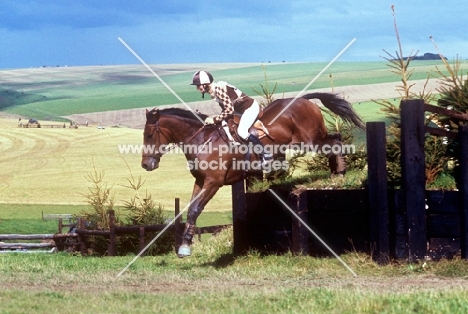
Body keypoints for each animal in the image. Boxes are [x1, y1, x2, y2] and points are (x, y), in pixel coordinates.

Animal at [141, 91, 364, 258]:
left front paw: (185, 248)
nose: (145, 165)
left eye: (149, 135)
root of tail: (303, 100)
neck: (202, 140)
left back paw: (340, 173)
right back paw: (336, 173)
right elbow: (190, 211)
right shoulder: (200, 181)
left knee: (335, 140)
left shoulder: (213, 183)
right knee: (334, 141)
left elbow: (195, 210)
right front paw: (185, 245)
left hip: (310, 140)